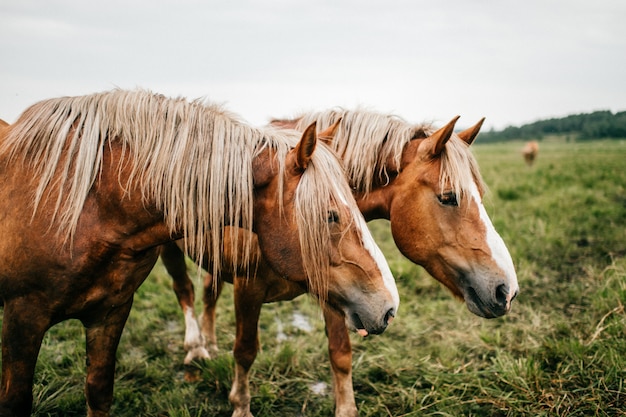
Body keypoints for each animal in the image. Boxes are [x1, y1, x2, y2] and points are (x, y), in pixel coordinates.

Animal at [0, 92, 398, 416]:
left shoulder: (109, 312)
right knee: (186, 291)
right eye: (331, 215)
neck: (81, 204)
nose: (389, 306)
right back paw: (195, 347)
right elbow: (245, 349)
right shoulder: (24, 317)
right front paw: (241, 407)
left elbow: (98, 392)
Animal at [161, 109, 516, 416]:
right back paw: (195, 350)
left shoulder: (341, 288)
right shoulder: (248, 289)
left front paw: (346, 409)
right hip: (167, 251)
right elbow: (245, 351)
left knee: (208, 294)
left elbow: (340, 352)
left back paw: (209, 343)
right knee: (185, 291)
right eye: (448, 197)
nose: (507, 290)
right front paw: (240, 406)